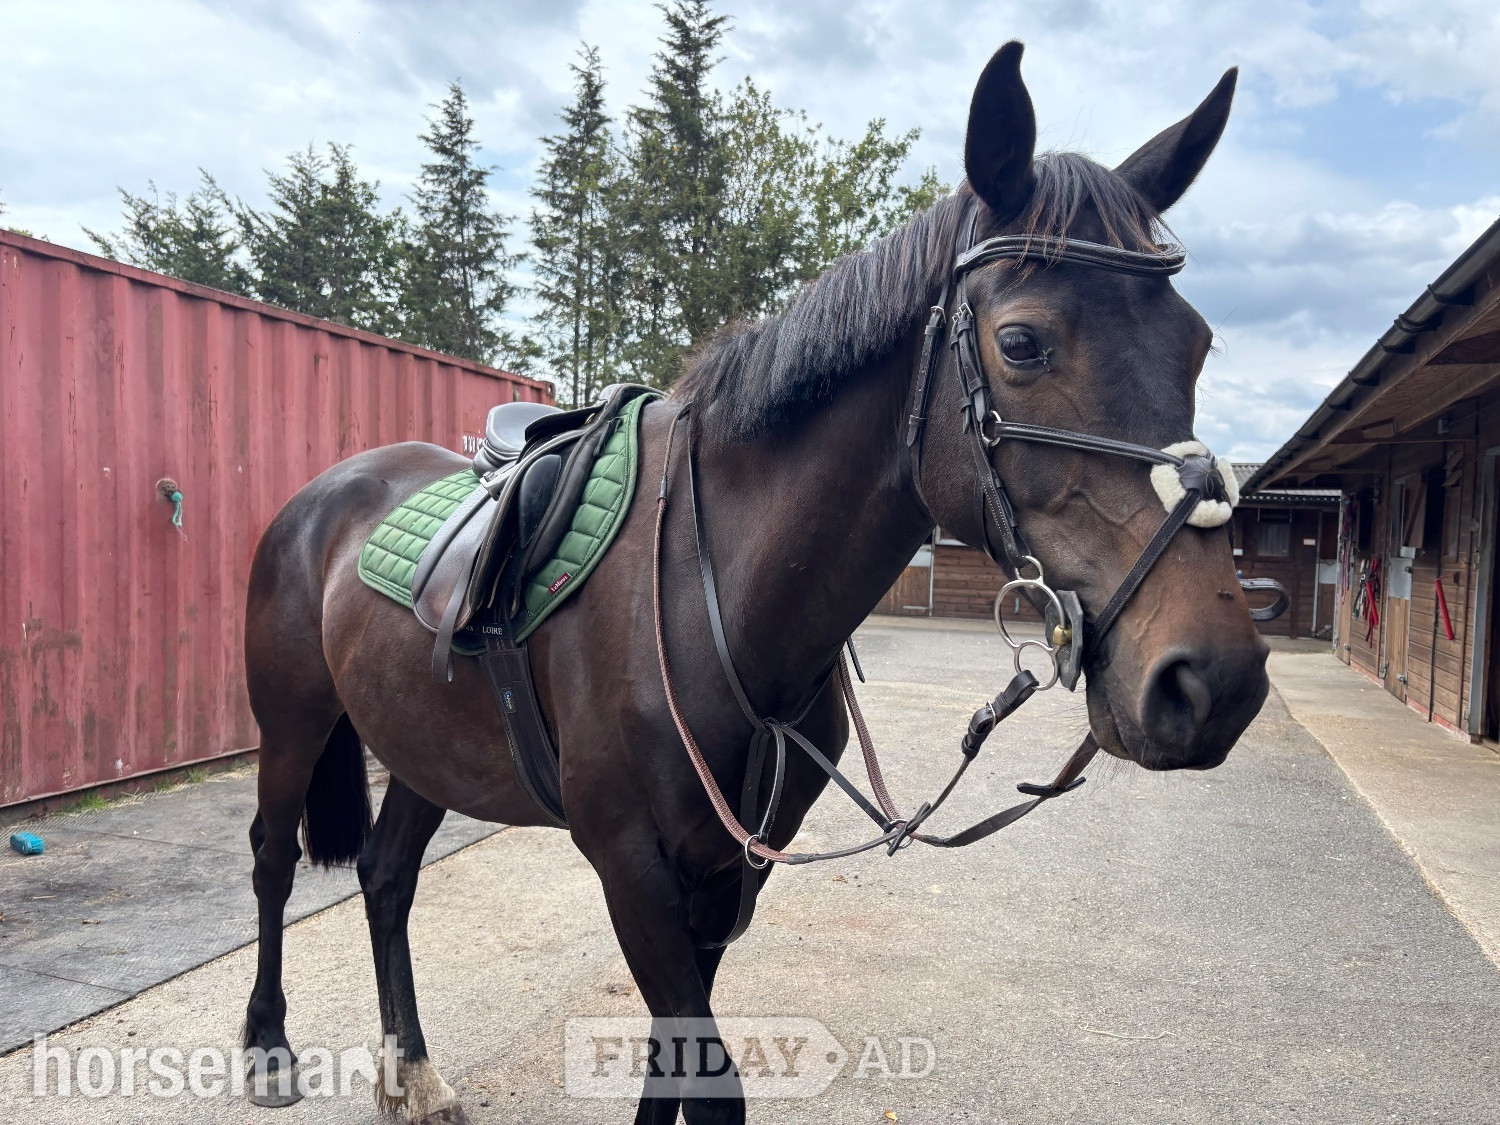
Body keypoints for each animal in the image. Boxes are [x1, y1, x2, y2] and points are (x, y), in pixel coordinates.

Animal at [240, 41, 1267, 1124]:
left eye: (1197, 344)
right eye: (1023, 342)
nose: (1213, 679)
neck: (714, 595)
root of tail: (320, 496)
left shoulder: (732, 867)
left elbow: (671, 1063)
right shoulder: (629, 860)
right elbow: (708, 1077)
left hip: (424, 743)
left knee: (387, 875)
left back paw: (412, 1070)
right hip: (293, 721)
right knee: (271, 858)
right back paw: (268, 1045)